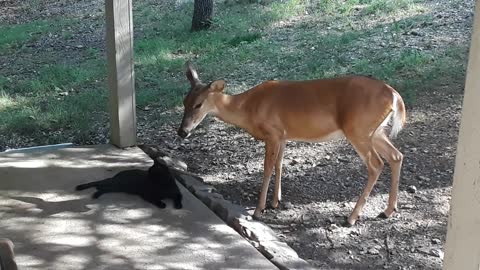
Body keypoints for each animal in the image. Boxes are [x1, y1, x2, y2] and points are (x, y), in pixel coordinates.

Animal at [176, 62, 404, 227]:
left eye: (198, 104)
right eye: (184, 102)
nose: (182, 132)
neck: (248, 108)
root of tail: (394, 95)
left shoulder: (273, 132)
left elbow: (267, 168)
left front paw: (259, 210)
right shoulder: (283, 136)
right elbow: (279, 164)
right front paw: (275, 201)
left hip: (359, 130)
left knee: (376, 164)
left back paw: (351, 218)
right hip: (375, 132)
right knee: (396, 156)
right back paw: (387, 211)